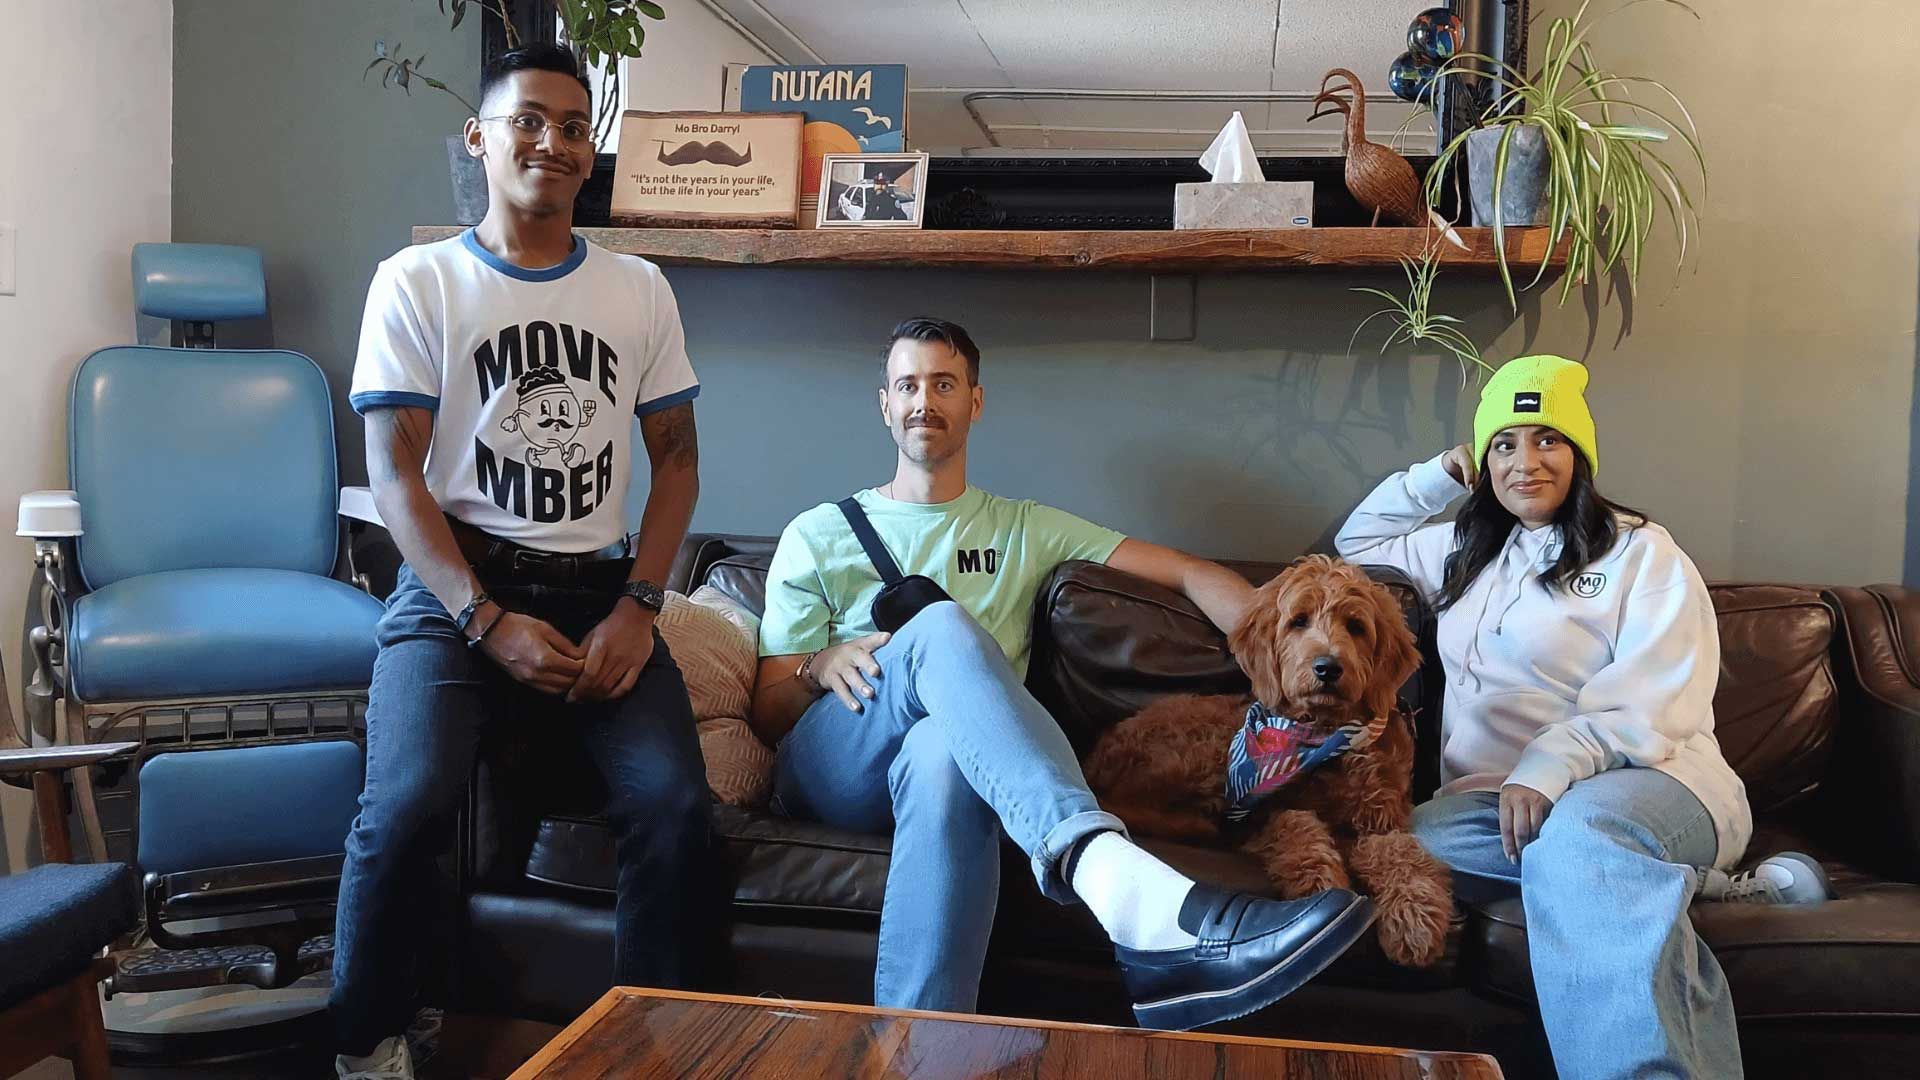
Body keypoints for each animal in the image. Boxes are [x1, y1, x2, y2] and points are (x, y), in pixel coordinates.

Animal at [1090, 557, 1443, 960]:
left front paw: (1416, 917)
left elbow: (1400, 853)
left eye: (1356, 626)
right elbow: (1296, 825)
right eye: (1299, 621)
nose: (1327, 667)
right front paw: (1321, 887)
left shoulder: (1380, 822)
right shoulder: (1257, 814)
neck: (1326, 736)